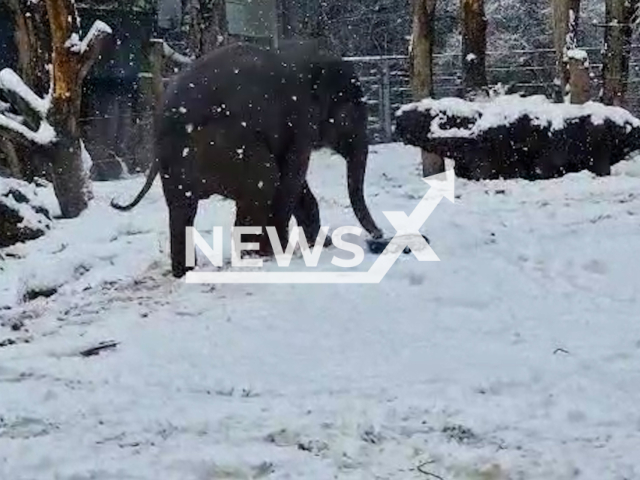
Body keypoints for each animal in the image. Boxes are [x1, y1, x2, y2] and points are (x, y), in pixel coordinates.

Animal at [110, 41, 382, 278]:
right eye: (353, 111)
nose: (379, 238)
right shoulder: (301, 120)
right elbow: (292, 176)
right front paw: (289, 251)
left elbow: (297, 184)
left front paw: (323, 245)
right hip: (226, 146)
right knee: (264, 182)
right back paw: (258, 256)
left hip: (177, 165)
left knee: (183, 210)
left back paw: (187, 272)